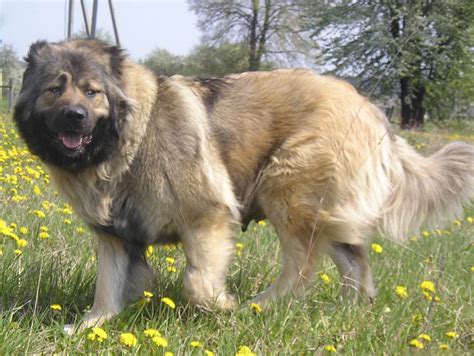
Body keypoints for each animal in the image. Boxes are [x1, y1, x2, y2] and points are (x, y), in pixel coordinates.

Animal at [12, 40, 472, 332]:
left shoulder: (207, 219)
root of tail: (370, 108)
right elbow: (107, 287)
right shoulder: (113, 235)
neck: (129, 139)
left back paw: (263, 305)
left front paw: (224, 307)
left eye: (92, 92)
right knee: (353, 261)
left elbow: (198, 284)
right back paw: (349, 310)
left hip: (286, 188)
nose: (74, 116)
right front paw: (92, 326)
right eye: (55, 88)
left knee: (302, 265)